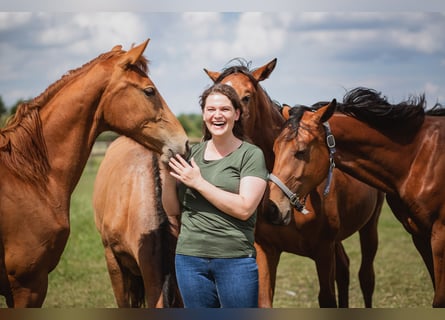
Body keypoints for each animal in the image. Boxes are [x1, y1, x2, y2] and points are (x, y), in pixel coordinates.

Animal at [203, 58, 384, 306]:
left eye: (246, 97)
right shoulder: (266, 249)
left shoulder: (323, 251)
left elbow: (327, 298)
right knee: (344, 269)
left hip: (369, 226)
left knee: (366, 277)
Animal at [268, 88, 444, 308]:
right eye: (274, 149)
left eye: (301, 151)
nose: (272, 208)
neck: (418, 156)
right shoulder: (420, 235)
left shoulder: (439, 237)